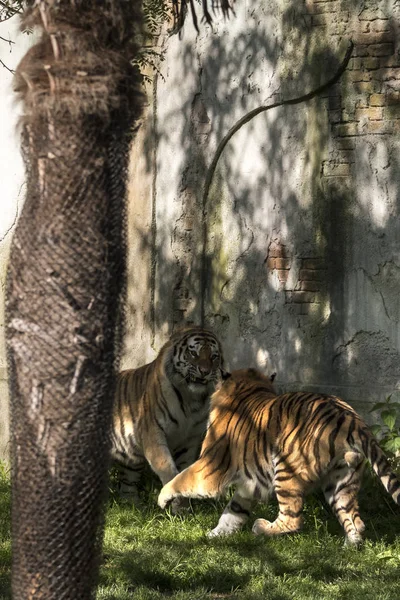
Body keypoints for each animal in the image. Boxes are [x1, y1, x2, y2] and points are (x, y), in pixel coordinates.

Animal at [110, 324, 225, 510]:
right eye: (194, 353)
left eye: (214, 356)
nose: (205, 371)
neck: (191, 399)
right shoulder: (153, 433)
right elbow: (167, 467)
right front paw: (170, 500)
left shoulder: (189, 440)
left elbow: (183, 471)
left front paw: (182, 509)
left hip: (131, 460)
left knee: (127, 483)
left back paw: (133, 506)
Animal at [158, 366, 400, 544]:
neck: (249, 388)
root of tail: (350, 418)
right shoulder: (250, 482)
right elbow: (233, 511)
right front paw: (215, 535)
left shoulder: (211, 467)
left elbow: (181, 479)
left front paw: (162, 498)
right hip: (342, 480)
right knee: (356, 520)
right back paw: (350, 545)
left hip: (286, 471)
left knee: (293, 520)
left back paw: (261, 527)